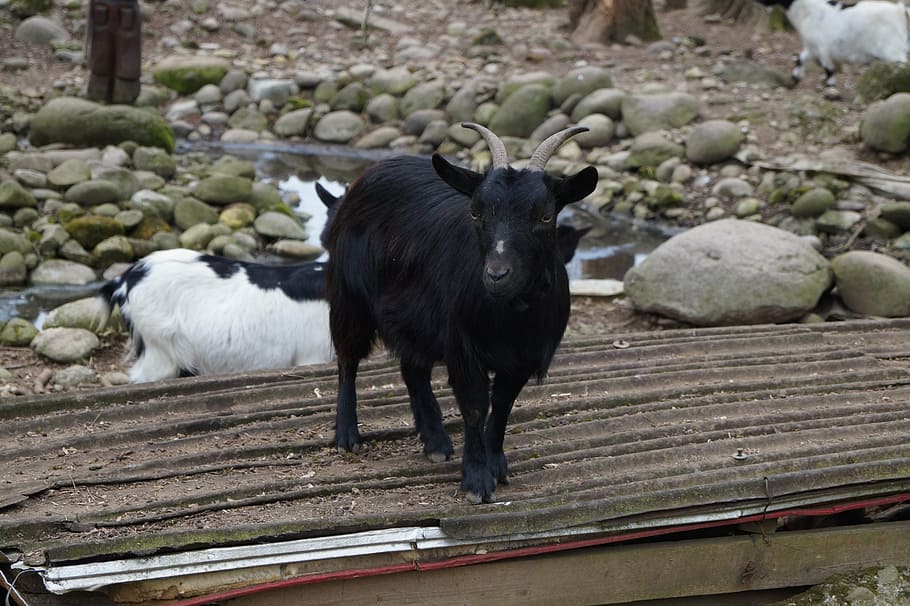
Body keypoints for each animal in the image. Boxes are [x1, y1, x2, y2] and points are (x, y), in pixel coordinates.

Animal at [326, 122, 600, 504]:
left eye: (545, 216)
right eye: (476, 213)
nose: (497, 274)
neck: (510, 316)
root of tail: (368, 175)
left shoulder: (522, 356)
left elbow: (502, 406)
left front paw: (496, 463)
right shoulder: (462, 346)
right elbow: (474, 407)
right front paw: (476, 480)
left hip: (413, 317)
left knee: (412, 367)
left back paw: (436, 442)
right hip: (350, 297)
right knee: (347, 360)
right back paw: (347, 436)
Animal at [764, 0, 910, 86]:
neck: (807, 11)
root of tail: (900, 11)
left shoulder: (822, 49)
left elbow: (828, 69)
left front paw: (829, 84)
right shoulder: (812, 47)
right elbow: (800, 58)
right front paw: (795, 77)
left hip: (893, 51)